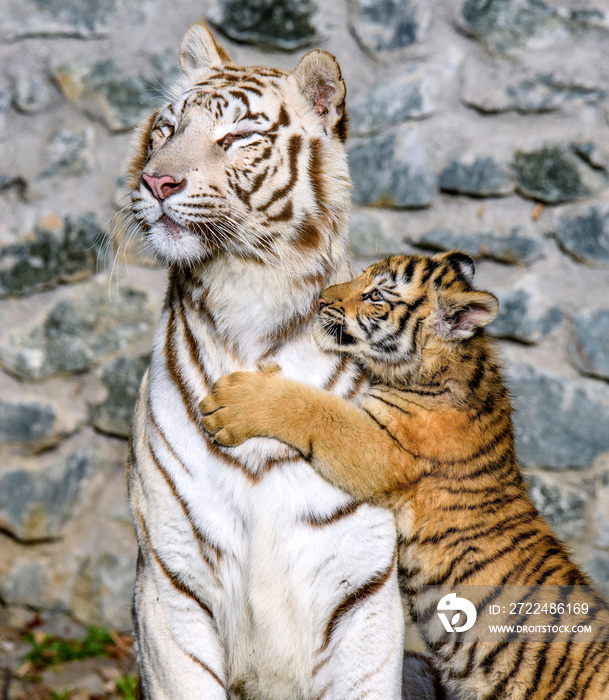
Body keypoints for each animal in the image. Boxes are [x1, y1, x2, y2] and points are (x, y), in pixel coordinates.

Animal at [124, 21, 404, 700]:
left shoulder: (363, 585)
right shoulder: (171, 581)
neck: (245, 295)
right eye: (167, 128)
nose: (157, 182)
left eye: (238, 137)